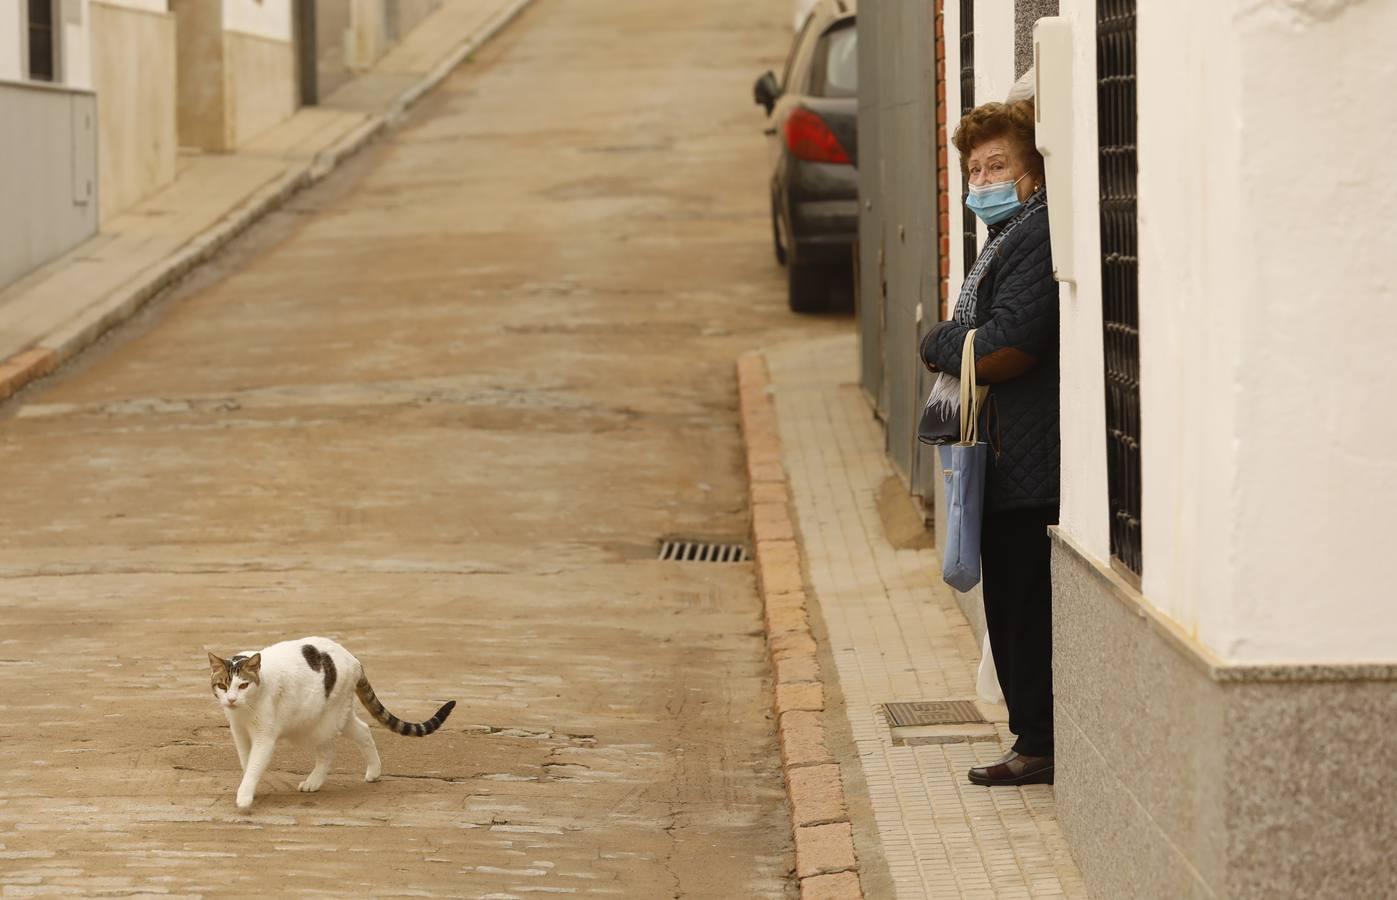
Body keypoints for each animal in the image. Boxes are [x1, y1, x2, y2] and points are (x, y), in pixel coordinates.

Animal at [203, 637, 455, 810]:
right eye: (223, 686)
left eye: (243, 685)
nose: (231, 700)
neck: (245, 710)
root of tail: (353, 658)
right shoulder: (239, 732)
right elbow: (247, 762)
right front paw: (250, 789)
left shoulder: (265, 736)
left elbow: (255, 764)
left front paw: (245, 796)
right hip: (338, 716)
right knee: (364, 731)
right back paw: (374, 771)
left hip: (322, 722)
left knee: (328, 752)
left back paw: (314, 781)